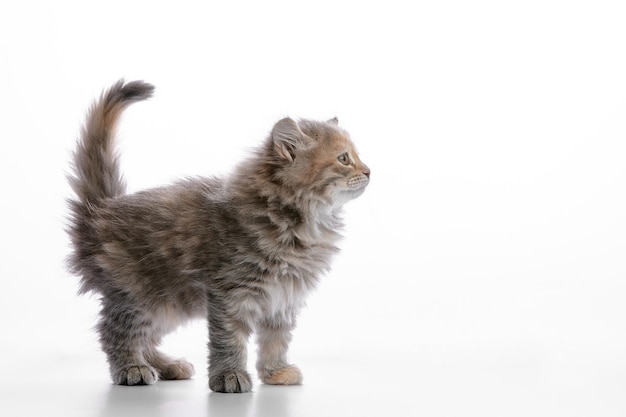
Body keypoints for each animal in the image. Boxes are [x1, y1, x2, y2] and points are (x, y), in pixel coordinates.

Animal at [67, 79, 370, 392]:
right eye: (344, 159)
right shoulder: (230, 291)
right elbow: (229, 339)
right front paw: (229, 375)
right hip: (137, 294)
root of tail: (102, 209)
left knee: (146, 338)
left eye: (357, 156)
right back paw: (133, 367)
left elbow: (276, 338)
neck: (298, 220)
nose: (369, 171)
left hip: (168, 304)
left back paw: (167, 365)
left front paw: (275, 372)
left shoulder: (283, 296)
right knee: (116, 331)